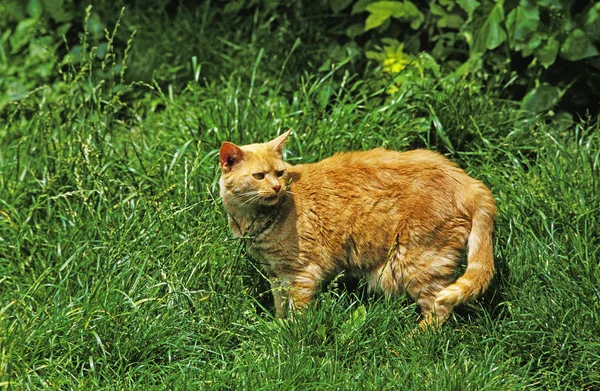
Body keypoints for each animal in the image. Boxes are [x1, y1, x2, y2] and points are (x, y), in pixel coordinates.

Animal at [218, 132, 494, 328]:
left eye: (279, 172)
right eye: (259, 176)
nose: (277, 187)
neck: (254, 220)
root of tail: (468, 181)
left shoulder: (302, 273)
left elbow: (298, 312)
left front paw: (291, 334)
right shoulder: (274, 273)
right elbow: (279, 305)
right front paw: (278, 326)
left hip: (418, 262)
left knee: (440, 308)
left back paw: (414, 338)